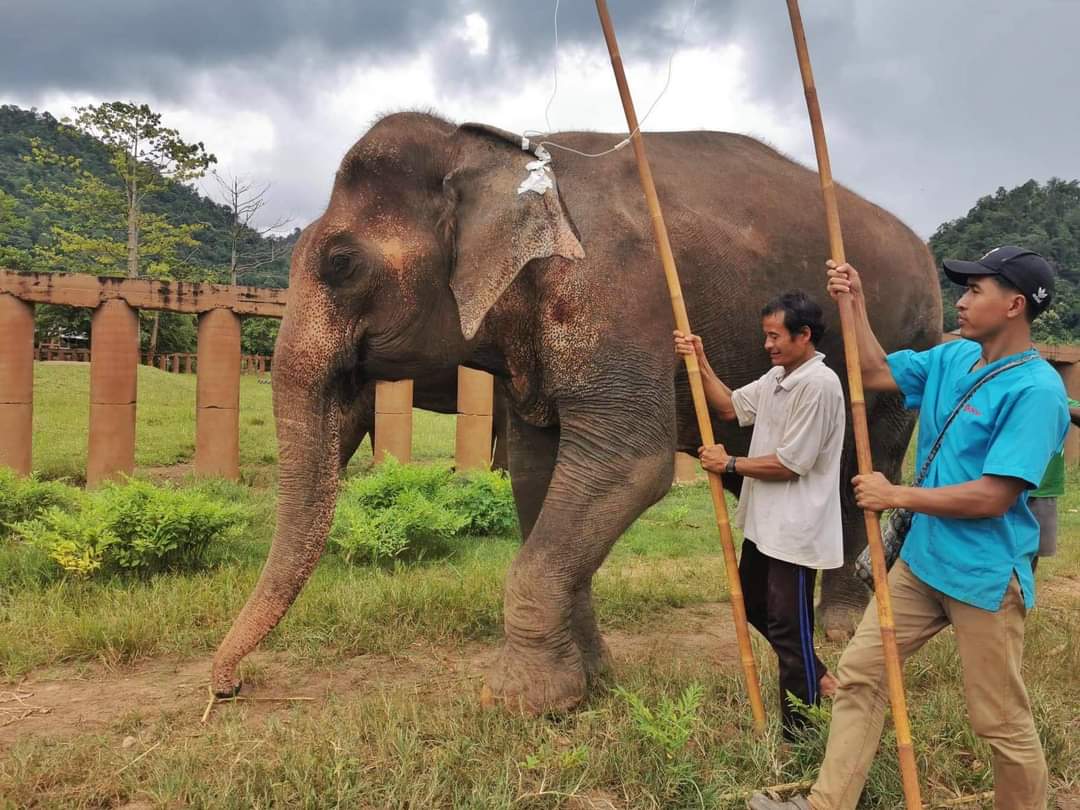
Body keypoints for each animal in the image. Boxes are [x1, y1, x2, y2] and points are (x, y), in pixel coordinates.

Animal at [210, 112, 941, 714]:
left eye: (340, 263)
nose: (228, 687)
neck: (501, 153)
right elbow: (539, 475)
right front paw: (586, 685)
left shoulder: (615, 294)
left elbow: (629, 463)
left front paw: (516, 702)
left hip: (908, 343)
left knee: (862, 470)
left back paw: (843, 632)